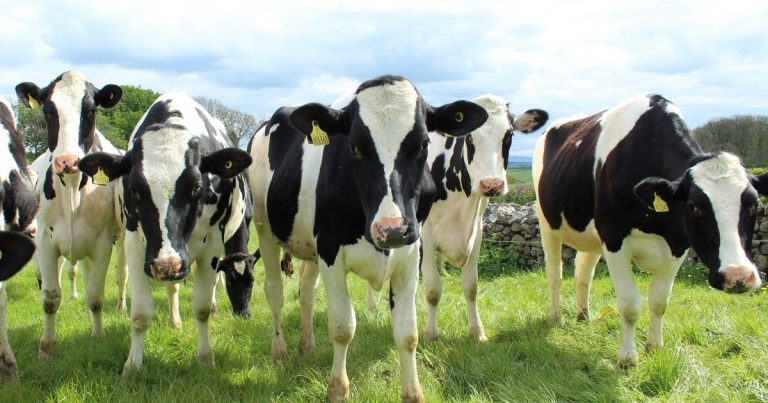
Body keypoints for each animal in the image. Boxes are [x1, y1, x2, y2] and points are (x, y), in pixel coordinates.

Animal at [16, 71, 127, 358]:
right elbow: (50, 297)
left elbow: (96, 296)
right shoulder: (44, 240)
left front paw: (98, 337)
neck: (72, 192)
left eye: (90, 110)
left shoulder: (102, 243)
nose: (67, 161)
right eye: (47, 110)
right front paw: (46, 347)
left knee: (120, 274)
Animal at [78, 91, 252, 373]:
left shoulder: (213, 247)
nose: (166, 264)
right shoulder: (137, 246)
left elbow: (202, 307)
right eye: (135, 188)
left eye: (196, 186)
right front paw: (133, 364)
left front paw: (206, 358)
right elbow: (140, 313)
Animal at [247, 75, 489, 402]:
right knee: (274, 291)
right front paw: (337, 389)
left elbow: (407, 332)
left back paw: (307, 345)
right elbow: (342, 327)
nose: (392, 229)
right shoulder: (330, 251)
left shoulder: (411, 253)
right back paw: (280, 350)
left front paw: (413, 392)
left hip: (308, 246)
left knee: (306, 291)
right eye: (354, 147)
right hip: (265, 228)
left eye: (423, 144)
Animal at [420, 94, 547, 342]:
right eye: (469, 137)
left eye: (509, 135)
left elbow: (471, 286)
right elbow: (432, 288)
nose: (491, 184)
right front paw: (431, 333)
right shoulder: (426, 232)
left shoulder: (477, 231)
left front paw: (477, 331)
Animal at [532, 93, 767, 367]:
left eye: (755, 204)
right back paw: (556, 317)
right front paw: (627, 357)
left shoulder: (678, 244)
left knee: (583, 271)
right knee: (555, 274)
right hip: (546, 222)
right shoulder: (614, 238)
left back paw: (583, 316)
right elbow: (630, 304)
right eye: (694, 207)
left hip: (590, 233)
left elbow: (659, 302)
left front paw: (654, 347)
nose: (738, 276)